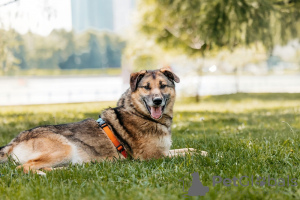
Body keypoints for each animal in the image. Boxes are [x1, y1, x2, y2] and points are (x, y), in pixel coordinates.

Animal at [0, 66, 206, 174]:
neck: (138, 112)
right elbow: (184, 154)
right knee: (24, 167)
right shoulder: (153, 157)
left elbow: (189, 149)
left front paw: (203, 152)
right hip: (63, 148)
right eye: (146, 87)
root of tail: (13, 141)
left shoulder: (164, 150)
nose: (157, 101)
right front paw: (203, 154)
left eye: (163, 86)